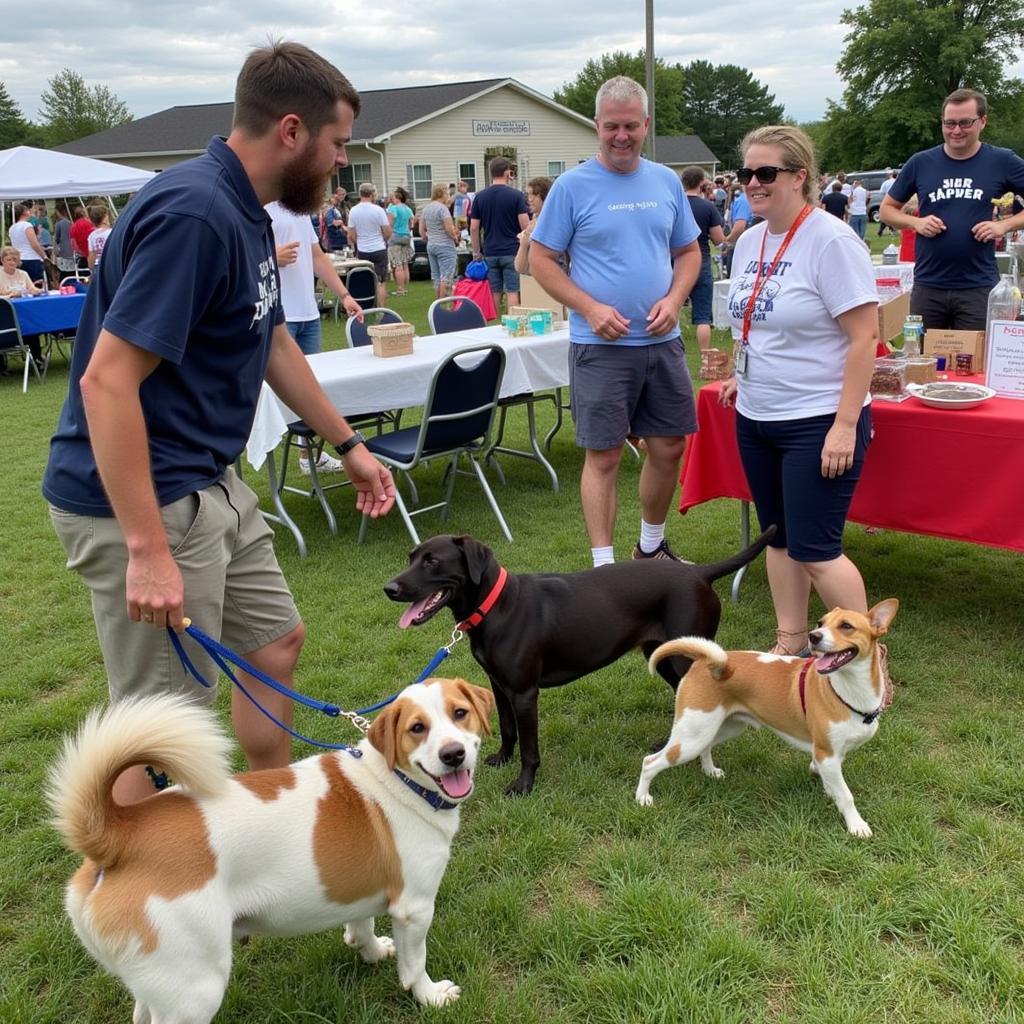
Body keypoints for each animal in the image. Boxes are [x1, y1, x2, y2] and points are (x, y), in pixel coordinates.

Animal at [48, 675, 495, 1019]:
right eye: (417, 729)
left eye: (459, 713)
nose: (453, 754)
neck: (394, 780)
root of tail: (118, 836)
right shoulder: (415, 909)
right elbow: (414, 964)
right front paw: (430, 996)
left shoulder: (359, 889)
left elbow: (360, 926)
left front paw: (370, 951)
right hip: (195, 990)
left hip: (155, 984)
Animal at [385, 532, 774, 794]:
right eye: (411, 557)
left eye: (432, 561)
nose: (389, 588)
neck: (496, 608)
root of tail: (700, 574)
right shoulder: (498, 685)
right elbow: (508, 730)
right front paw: (501, 759)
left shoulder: (524, 693)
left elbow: (530, 747)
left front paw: (524, 785)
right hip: (664, 657)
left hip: (682, 659)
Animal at [630, 602, 897, 835]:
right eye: (821, 623)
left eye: (846, 626)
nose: (813, 636)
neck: (848, 690)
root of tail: (711, 663)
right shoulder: (827, 754)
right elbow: (846, 795)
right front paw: (856, 825)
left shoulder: (831, 757)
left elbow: (832, 784)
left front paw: (831, 794)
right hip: (689, 739)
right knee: (649, 762)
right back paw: (642, 797)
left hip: (719, 728)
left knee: (705, 747)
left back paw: (710, 771)